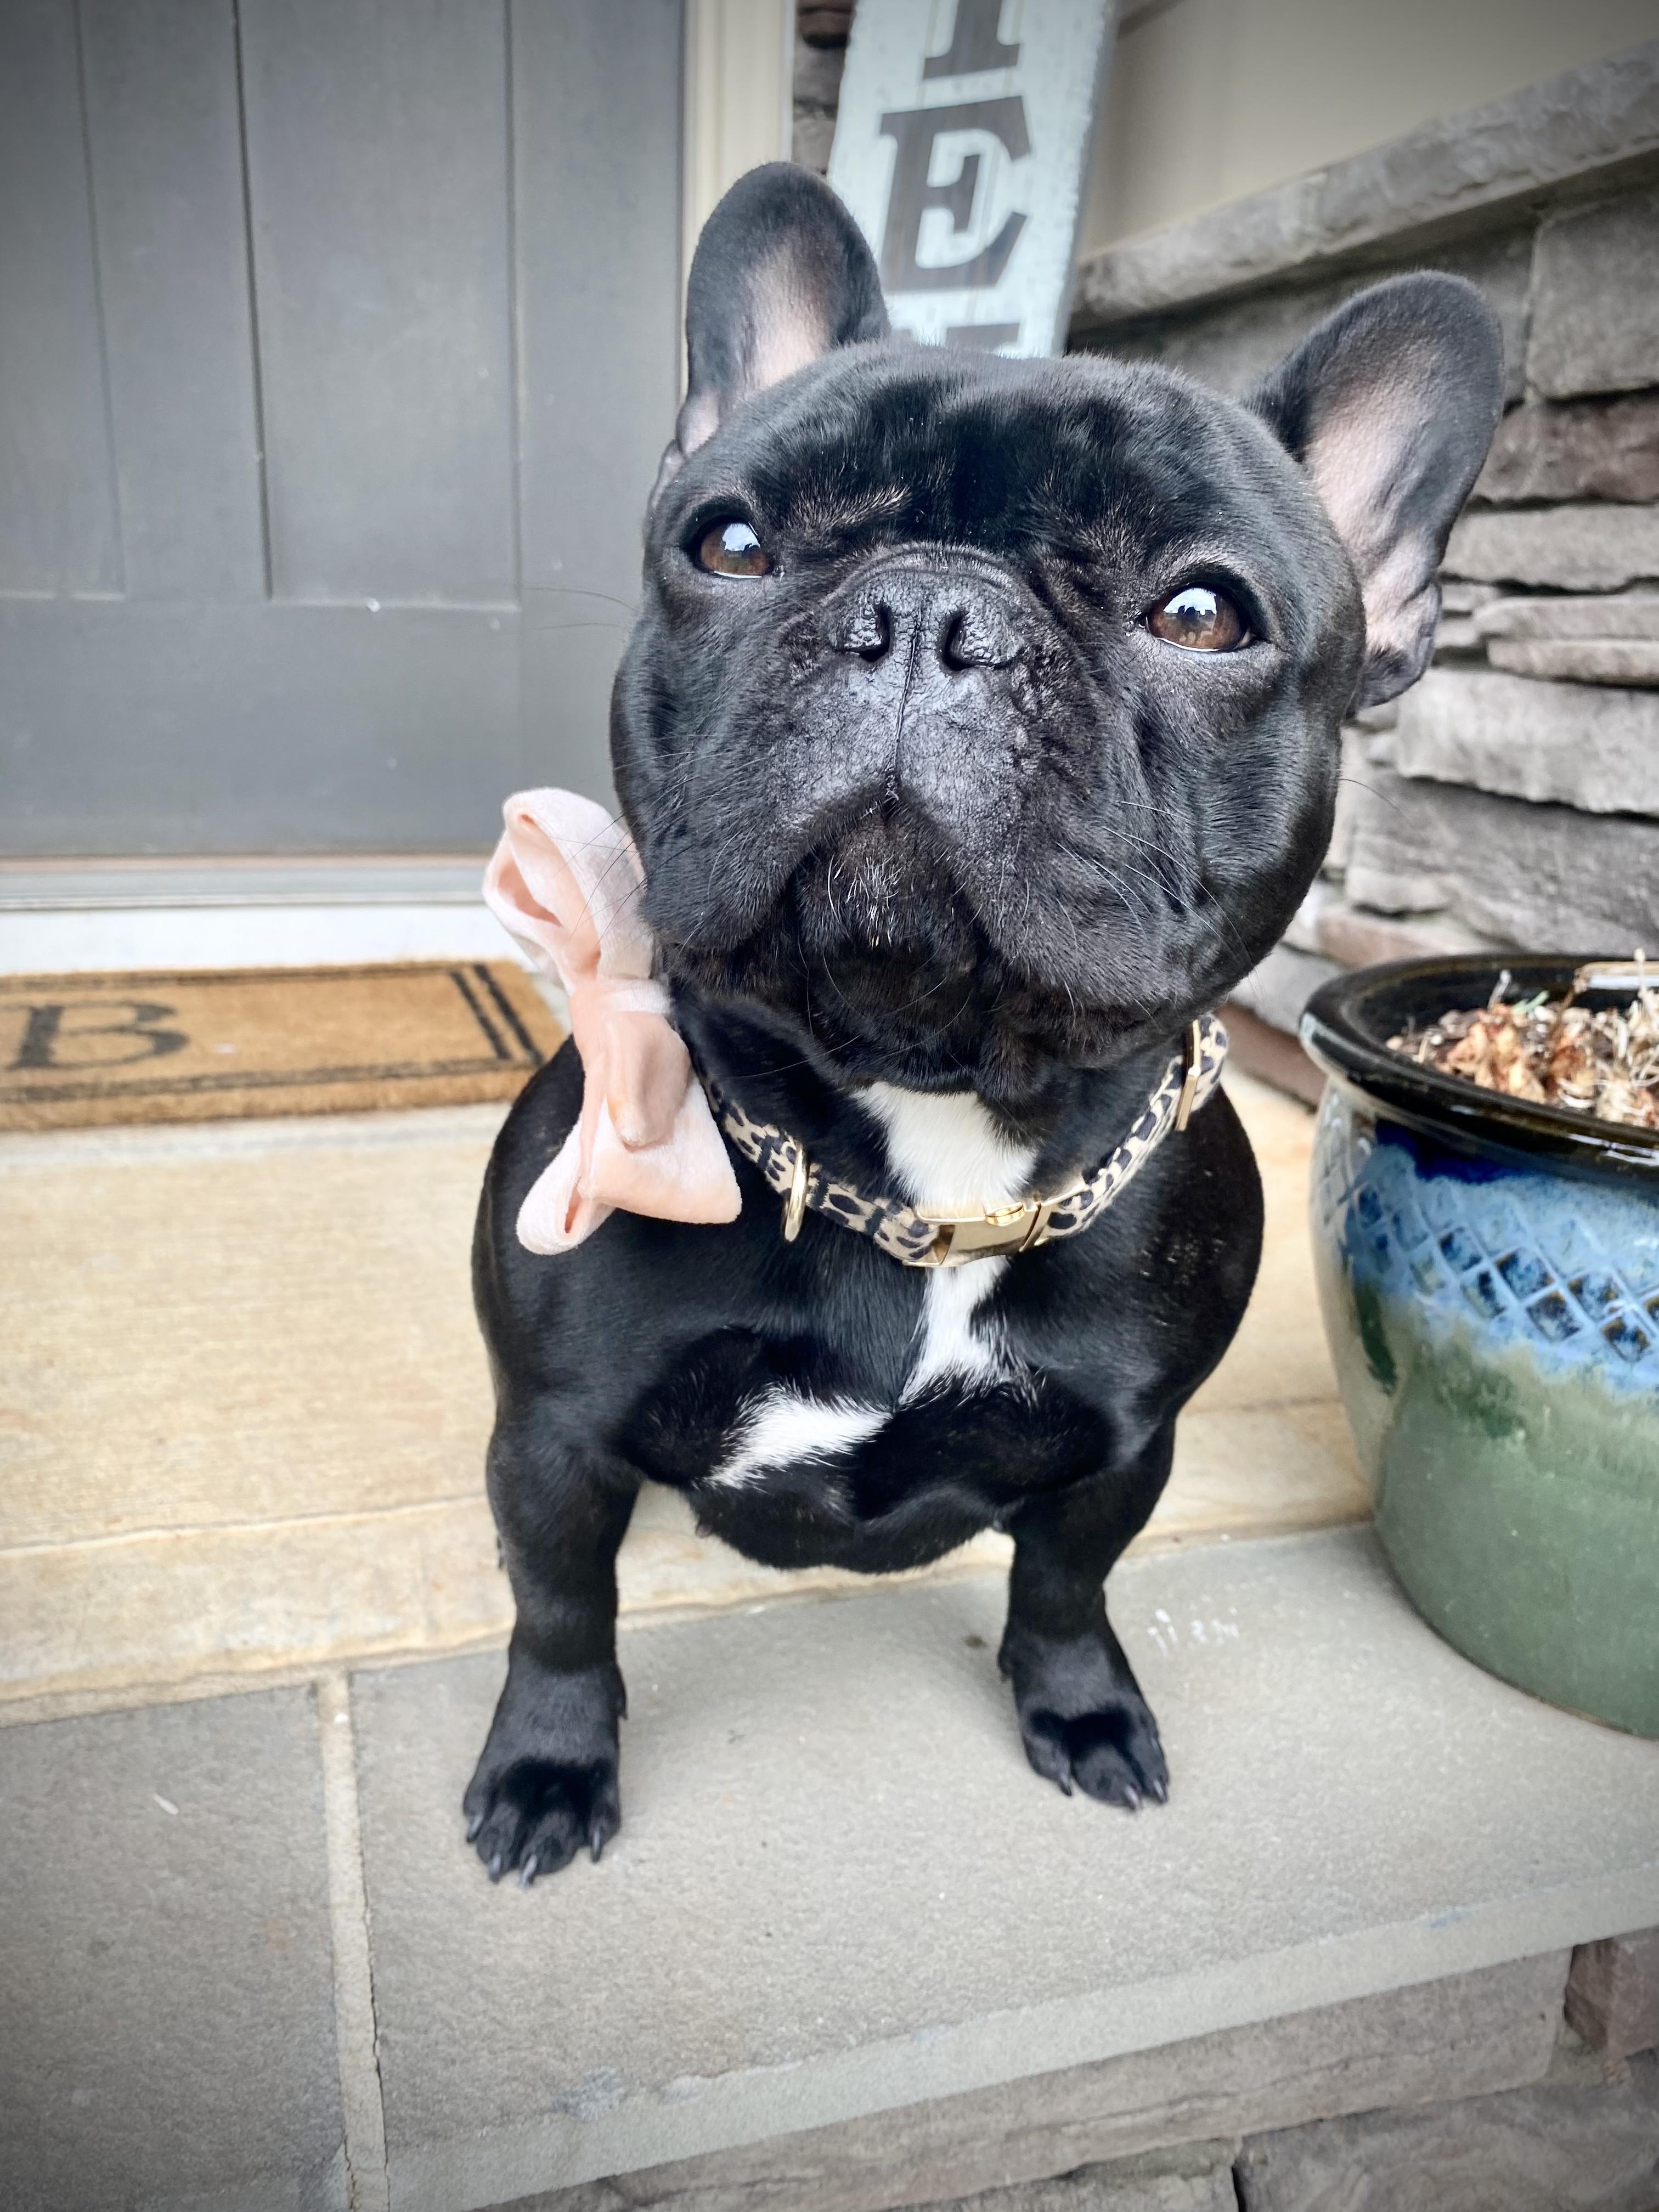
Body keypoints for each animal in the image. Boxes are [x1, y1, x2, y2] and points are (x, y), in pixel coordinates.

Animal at [464, 163, 1502, 1883]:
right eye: (731, 543)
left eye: (1203, 614)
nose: (926, 608)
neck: (928, 1128)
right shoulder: (553, 1437)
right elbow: (559, 1608)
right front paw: (549, 1767)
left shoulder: (1120, 1451)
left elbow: (1067, 1588)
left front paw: (1080, 1712)